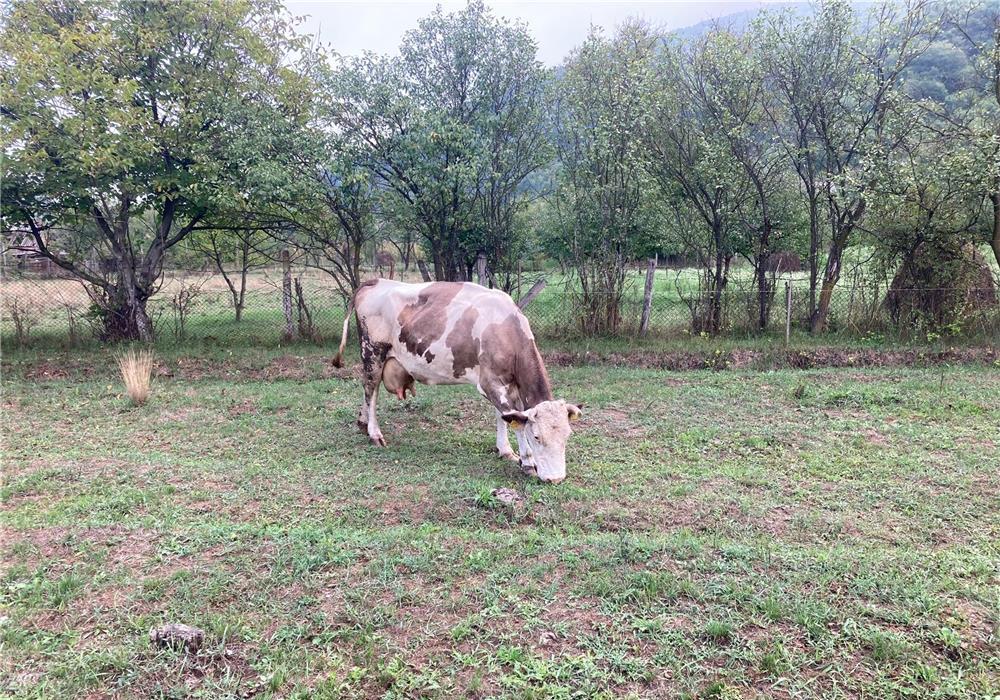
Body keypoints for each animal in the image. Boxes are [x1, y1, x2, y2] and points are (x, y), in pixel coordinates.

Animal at [333, 279, 582, 483]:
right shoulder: (490, 382)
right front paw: (528, 462)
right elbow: (515, 421)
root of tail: (377, 281)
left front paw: (505, 451)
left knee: (368, 388)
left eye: (568, 436)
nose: (556, 479)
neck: (505, 327)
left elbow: (504, 417)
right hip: (372, 351)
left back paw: (362, 421)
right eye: (537, 436)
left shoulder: (507, 384)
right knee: (371, 388)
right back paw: (374, 433)